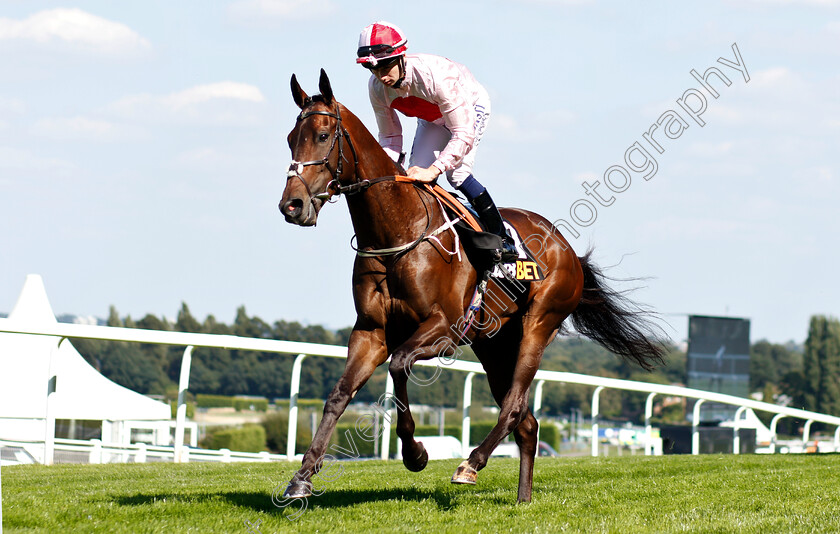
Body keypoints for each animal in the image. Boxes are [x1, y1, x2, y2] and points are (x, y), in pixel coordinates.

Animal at [278, 69, 668, 504]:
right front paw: (303, 476)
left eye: (323, 135)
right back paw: (522, 498)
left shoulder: (443, 329)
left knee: (513, 406)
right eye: (291, 139)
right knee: (528, 423)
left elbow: (399, 365)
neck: (399, 230)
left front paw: (415, 453)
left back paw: (471, 463)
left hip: (538, 324)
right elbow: (339, 394)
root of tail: (568, 249)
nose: (292, 205)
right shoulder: (370, 331)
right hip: (494, 345)